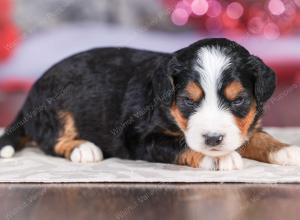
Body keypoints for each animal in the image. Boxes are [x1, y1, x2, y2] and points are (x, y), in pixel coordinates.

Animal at [0, 38, 300, 170]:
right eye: (187, 100)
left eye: (238, 99)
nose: (213, 139)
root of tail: (31, 92)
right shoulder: (139, 137)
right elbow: (179, 144)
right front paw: (220, 158)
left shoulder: (243, 126)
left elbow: (256, 135)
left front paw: (284, 149)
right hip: (56, 107)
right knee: (51, 140)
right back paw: (83, 148)